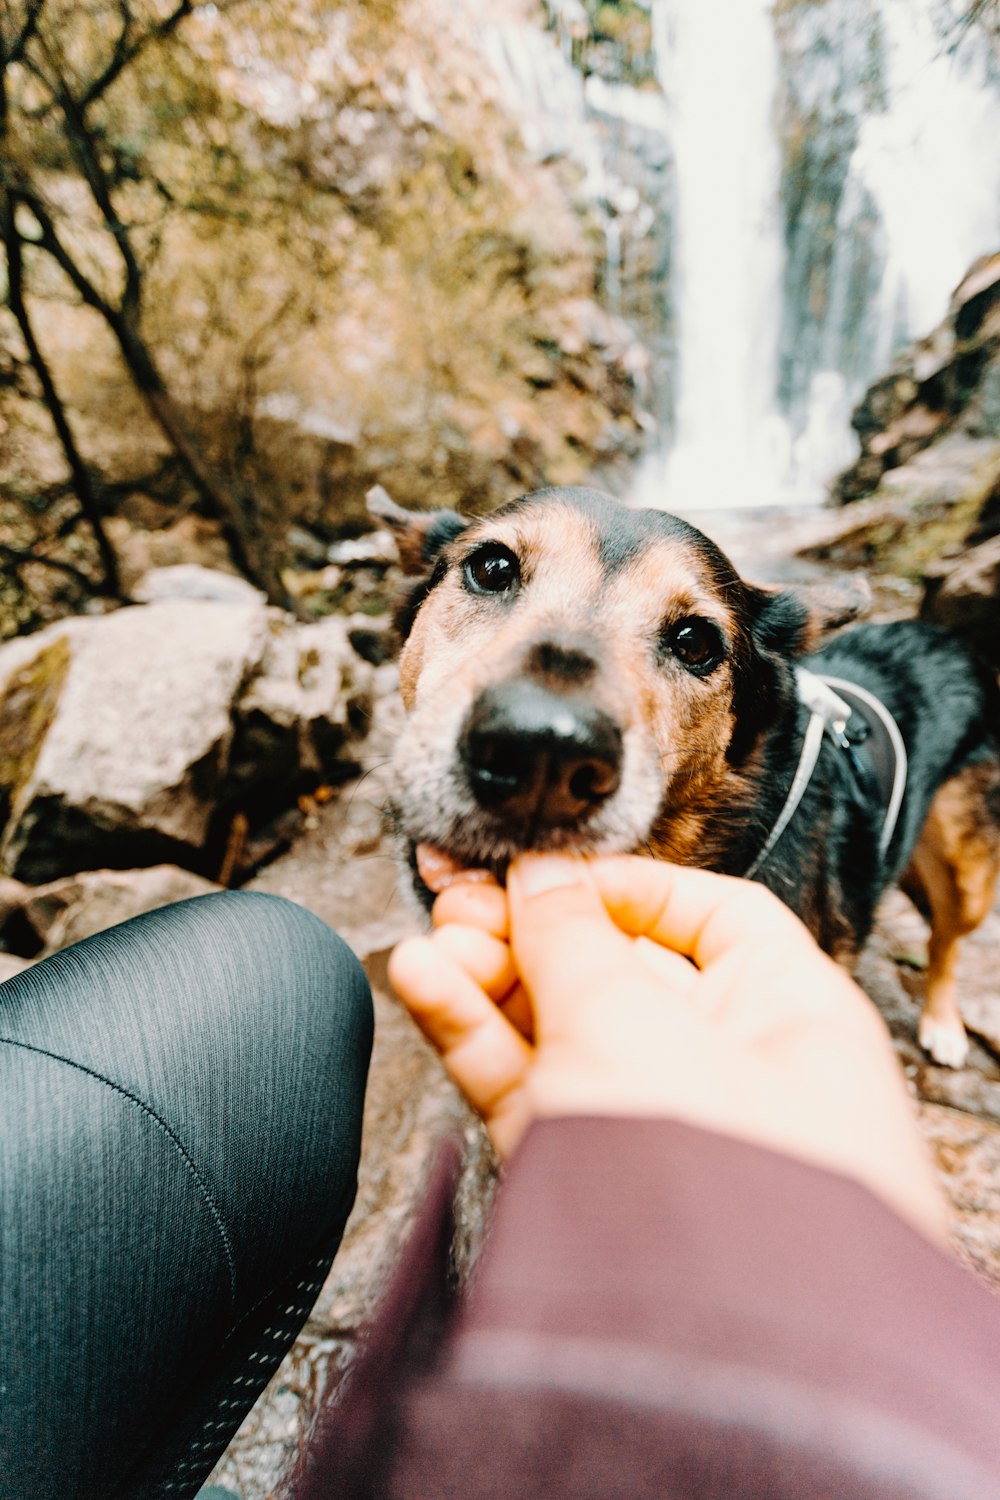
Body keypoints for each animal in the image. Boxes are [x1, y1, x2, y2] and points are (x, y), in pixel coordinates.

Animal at [374, 483, 1000, 1068]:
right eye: (493, 567)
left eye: (696, 642)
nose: (542, 754)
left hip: (966, 878)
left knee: (946, 940)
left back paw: (943, 1023)